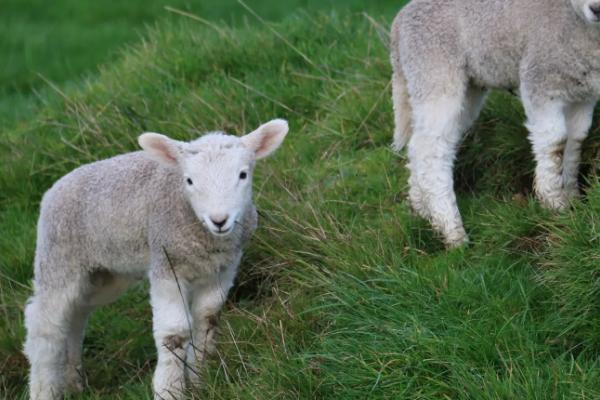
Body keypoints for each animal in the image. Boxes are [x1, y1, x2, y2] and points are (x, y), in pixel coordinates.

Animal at [24, 119, 292, 400]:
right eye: (189, 180)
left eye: (243, 175)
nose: (219, 220)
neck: (206, 238)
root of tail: (53, 189)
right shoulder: (166, 264)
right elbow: (175, 333)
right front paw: (169, 390)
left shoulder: (223, 268)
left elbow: (207, 319)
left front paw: (201, 380)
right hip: (59, 258)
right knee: (44, 324)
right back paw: (44, 388)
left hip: (103, 273)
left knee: (76, 314)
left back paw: (73, 381)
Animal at [392, 0, 596, 247]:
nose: (596, 9)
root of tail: (399, 22)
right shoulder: (539, 79)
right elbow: (556, 142)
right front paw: (555, 205)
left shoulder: (583, 93)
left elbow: (575, 142)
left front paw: (573, 199)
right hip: (435, 73)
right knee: (430, 149)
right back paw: (453, 233)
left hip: (466, 88)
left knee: (419, 145)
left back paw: (421, 211)